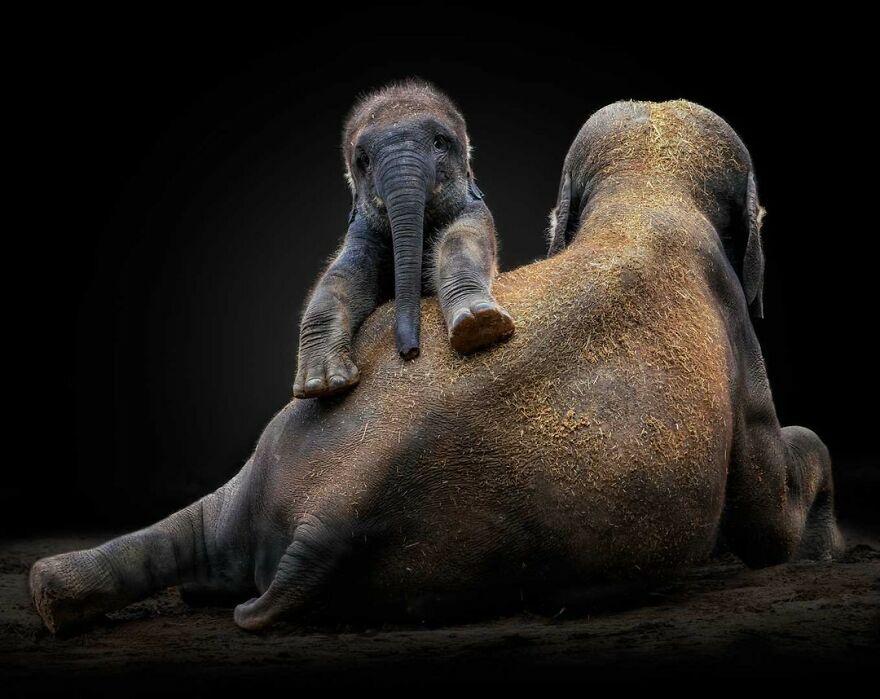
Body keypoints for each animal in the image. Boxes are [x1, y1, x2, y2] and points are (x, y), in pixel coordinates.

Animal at [293, 80, 514, 399]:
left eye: (439, 143)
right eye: (364, 160)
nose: (409, 352)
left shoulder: (475, 212)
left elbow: (462, 244)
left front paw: (479, 323)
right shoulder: (361, 233)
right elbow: (339, 277)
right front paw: (320, 385)